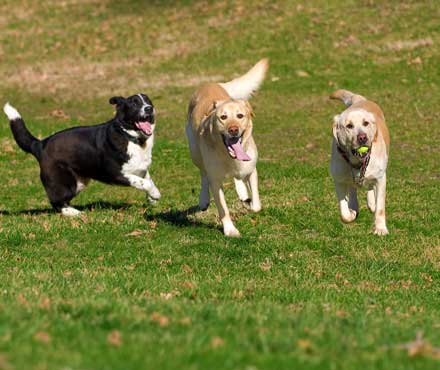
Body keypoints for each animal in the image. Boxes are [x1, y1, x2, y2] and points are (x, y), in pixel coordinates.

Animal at [2, 93, 161, 217]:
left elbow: (148, 180)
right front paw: (155, 194)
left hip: (78, 183)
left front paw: (151, 198)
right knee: (56, 202)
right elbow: (144, 182)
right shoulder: (117, 174)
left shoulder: (141, 169)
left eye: (148, 101)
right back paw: (74, 213)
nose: (149, 108)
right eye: (134, 103)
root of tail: (40, 144)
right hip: (65, 184)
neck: (131, 137)